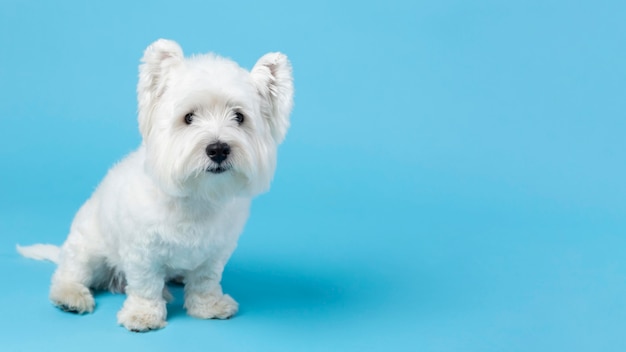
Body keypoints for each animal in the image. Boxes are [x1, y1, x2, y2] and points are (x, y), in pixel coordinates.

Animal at [15, 39, 294, 332]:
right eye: (188, 117)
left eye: (239, 117)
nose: (218, 149)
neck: (195, 196)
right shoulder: (142, 252)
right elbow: (146, 285)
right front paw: (143, 314)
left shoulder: (214, 252)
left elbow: (205, 281)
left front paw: (209, 306)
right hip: (87, 247)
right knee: (70, 272)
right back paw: (70, 296)